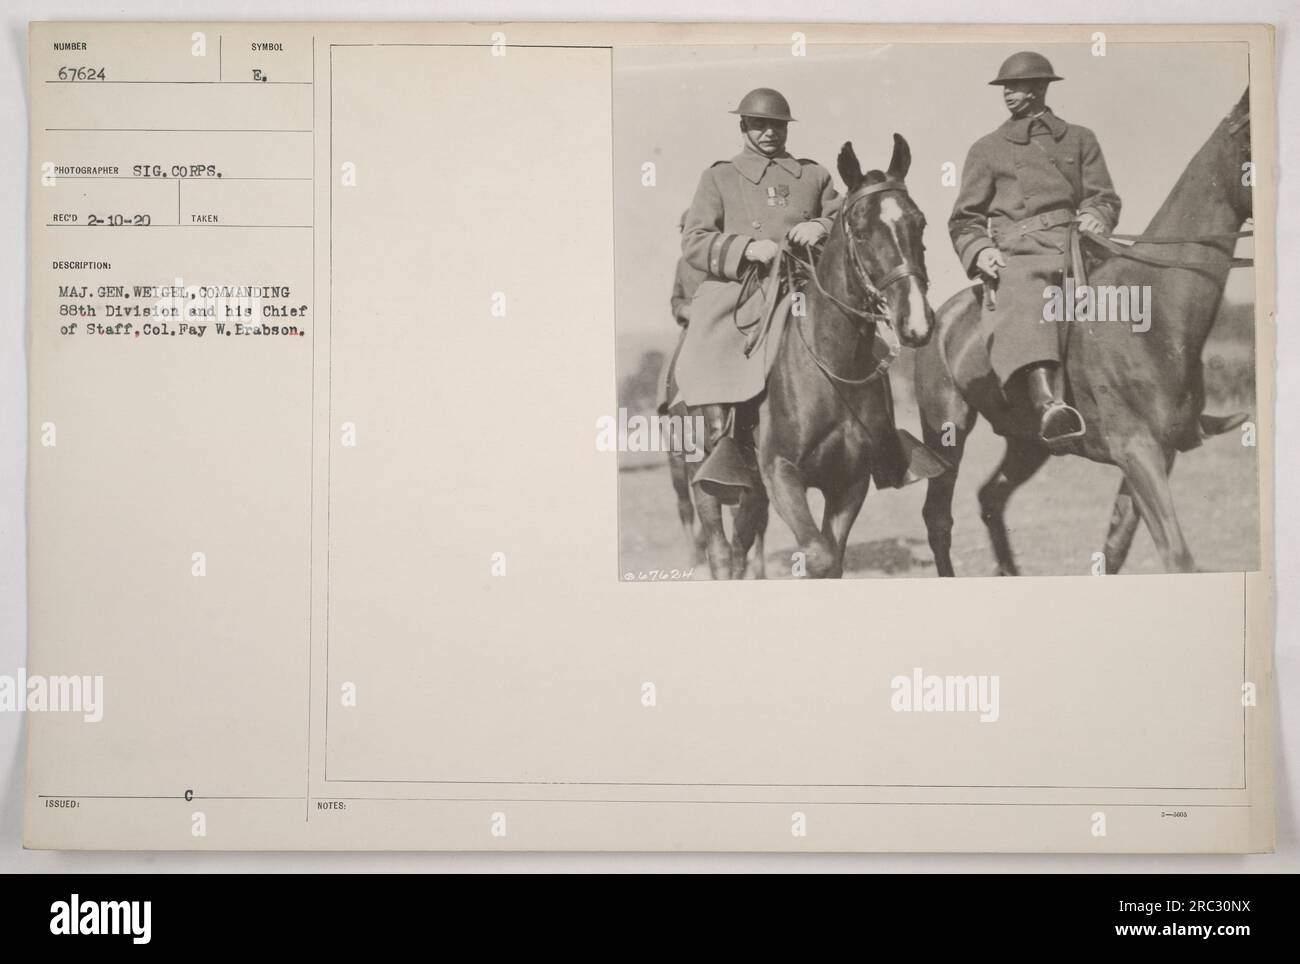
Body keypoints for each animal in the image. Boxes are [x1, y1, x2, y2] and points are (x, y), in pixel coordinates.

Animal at [759, 131, 941, 576]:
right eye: (859, 231)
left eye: (920, 222)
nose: (916, 322)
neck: (830, 369)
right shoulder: (780, 474)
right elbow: (818, 555)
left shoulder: (849, 482)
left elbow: (833, 557)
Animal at [915, 90, 1248, 574]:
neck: (1149, 313)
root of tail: (941, 316)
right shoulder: (1136, 449)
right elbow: (1177, 555)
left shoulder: (1158, 454)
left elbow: (1117, 547)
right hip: (946, 429)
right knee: (938, 517)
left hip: (1028, 442)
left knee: (990, 497)